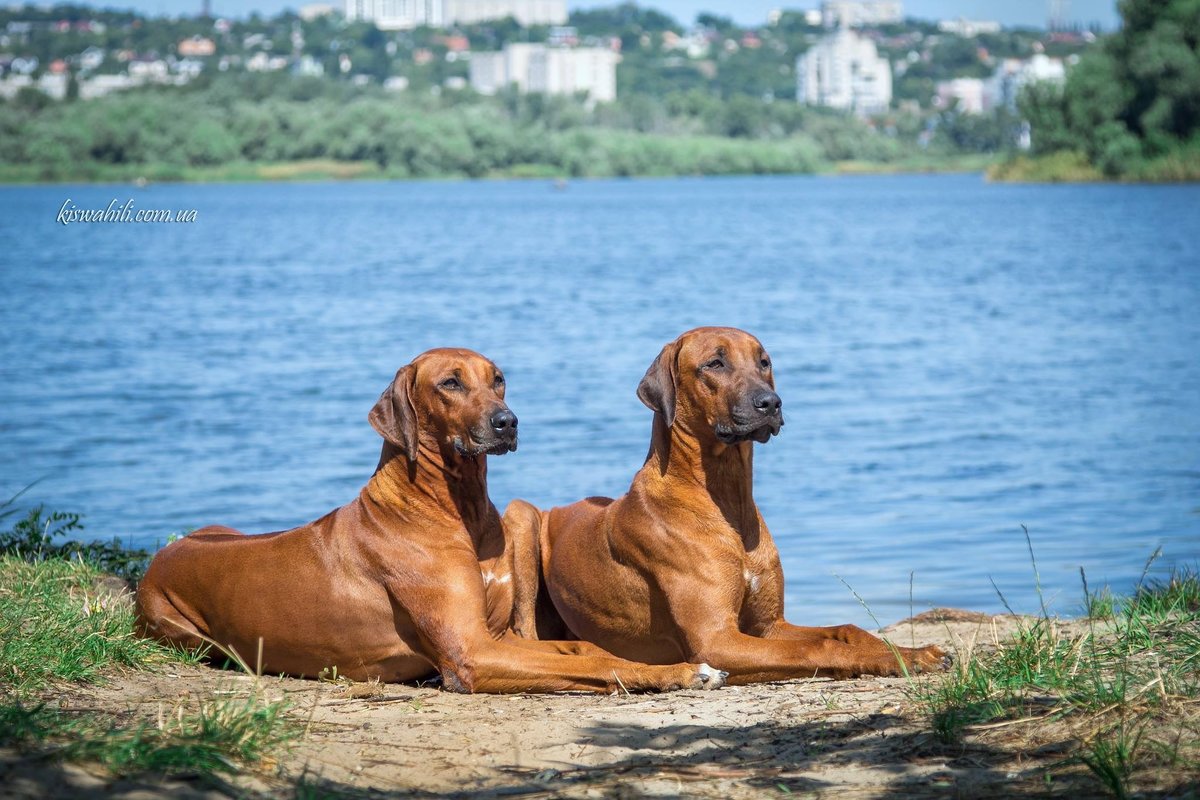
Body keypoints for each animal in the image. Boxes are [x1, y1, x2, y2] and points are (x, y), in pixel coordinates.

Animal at [136, 350, 724, 695]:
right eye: (450, 384)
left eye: (499, 380)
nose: (507, 422)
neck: (457, 509)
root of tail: (160, 560)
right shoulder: (471, 653)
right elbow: (596, 665)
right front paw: (682, 671)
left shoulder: (497, 634)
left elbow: (583, 650)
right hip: (182, 632)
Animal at [504, 328, 945, 686]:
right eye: (715, 363)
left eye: (764, 362)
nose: (771, 403)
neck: (727, 500)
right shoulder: (717, 640)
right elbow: (817, 647)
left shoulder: (768, 626)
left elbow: (847, 628)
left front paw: (910, 655)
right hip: (521, 515)